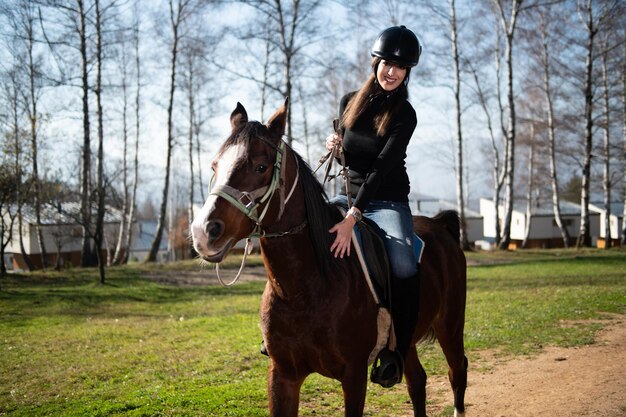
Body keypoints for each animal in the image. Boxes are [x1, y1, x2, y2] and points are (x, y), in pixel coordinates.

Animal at [190, 101, 468, 416]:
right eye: (215, 165)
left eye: (261, 166)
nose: (204, 231)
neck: (306, 288)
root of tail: (441, 224)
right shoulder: (282, 375)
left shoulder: (354, 376)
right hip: (406, 344)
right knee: (417, 382)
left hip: (451, 326)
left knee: (457, 373)